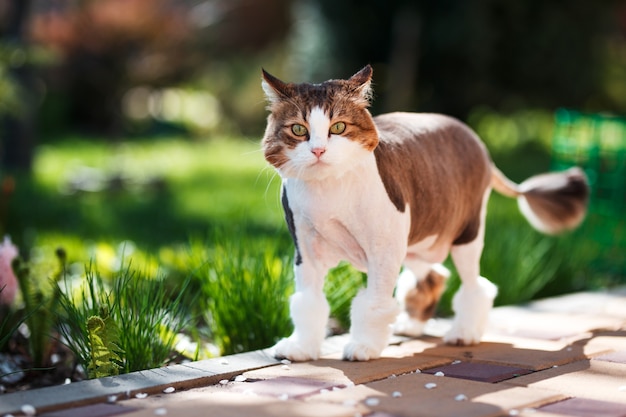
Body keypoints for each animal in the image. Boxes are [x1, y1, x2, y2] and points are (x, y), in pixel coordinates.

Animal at [258, 65, 584, 360]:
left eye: (338, 127)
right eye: (298, 129)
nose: (318, 151)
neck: (328, 194)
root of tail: (478, 142)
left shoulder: (383, 249)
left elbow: (374, 303)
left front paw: (364, 347)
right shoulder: (306, 249)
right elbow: (308, 301)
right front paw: (301, 348)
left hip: (466, 234)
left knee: (475, 286)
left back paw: (464, 332)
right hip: (416, 240)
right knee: (434, 276)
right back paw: (411, 325)